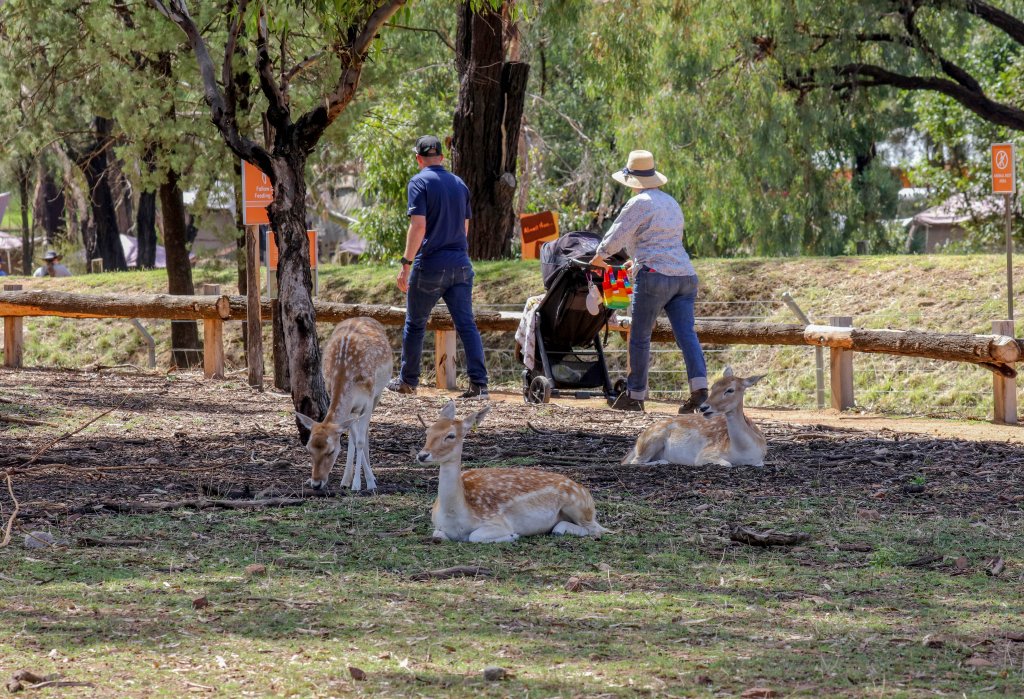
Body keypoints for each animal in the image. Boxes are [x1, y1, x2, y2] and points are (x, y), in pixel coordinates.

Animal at [295, 317, 393, 491]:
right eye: (309, 450)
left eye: (331, 451)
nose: (316, 484)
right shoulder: (347, 406)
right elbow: (353, 438)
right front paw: (348, 480)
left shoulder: (368, 400)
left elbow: (360, 440)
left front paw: (364, 483)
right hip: (354, 409)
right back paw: (347, 479)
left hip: (378, 393)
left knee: (365, 432)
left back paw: (369, 477)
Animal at [417, 401, 608, 543]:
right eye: (428, 431)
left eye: (450, 435)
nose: (422, 455)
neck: (455, 518)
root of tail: (586, 493)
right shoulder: (437, 526)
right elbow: (437, 535)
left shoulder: (497, 521)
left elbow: (474, 536)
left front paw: (513, 535)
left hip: (578, 506)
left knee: (596, 530)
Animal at [622, 367, 767, 467]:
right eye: (713, 386)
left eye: (730, 390)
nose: (704, 407)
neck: (743, 451)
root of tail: (637, 442)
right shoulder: (706, 454)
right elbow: (727, 463)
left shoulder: (759, 461)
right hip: (651, 441)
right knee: (632, 462)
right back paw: (663, 461)